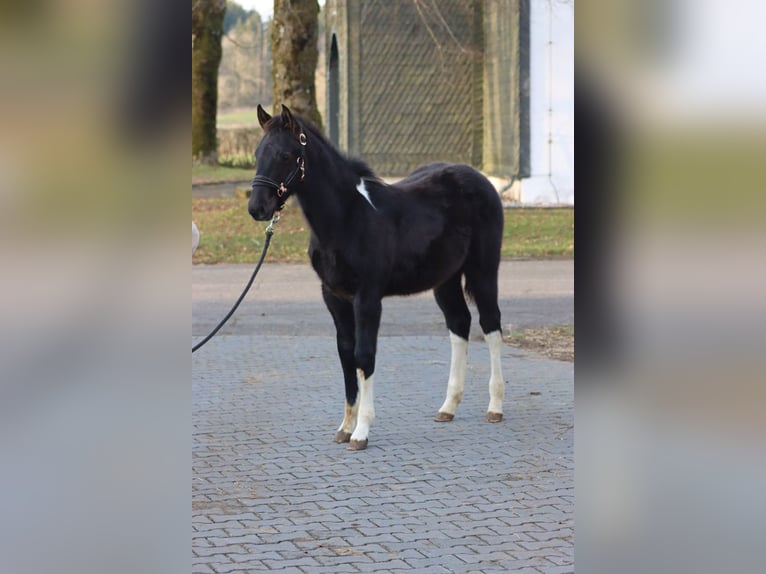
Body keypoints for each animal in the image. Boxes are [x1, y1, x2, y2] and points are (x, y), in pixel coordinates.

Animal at [249, 105, 506, 451]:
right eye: (257, 153)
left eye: (286, 155)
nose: (257, 207)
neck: (347, 219)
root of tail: (482, 180)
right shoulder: (333, 296)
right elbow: (346, 355)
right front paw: (344, 427)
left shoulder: (368, 297)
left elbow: (364, 355)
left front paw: (361, 432)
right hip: (446, 279)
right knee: (459, 323)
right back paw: (448, 407)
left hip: (483, 270)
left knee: (491, 324)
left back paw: (495, 407)